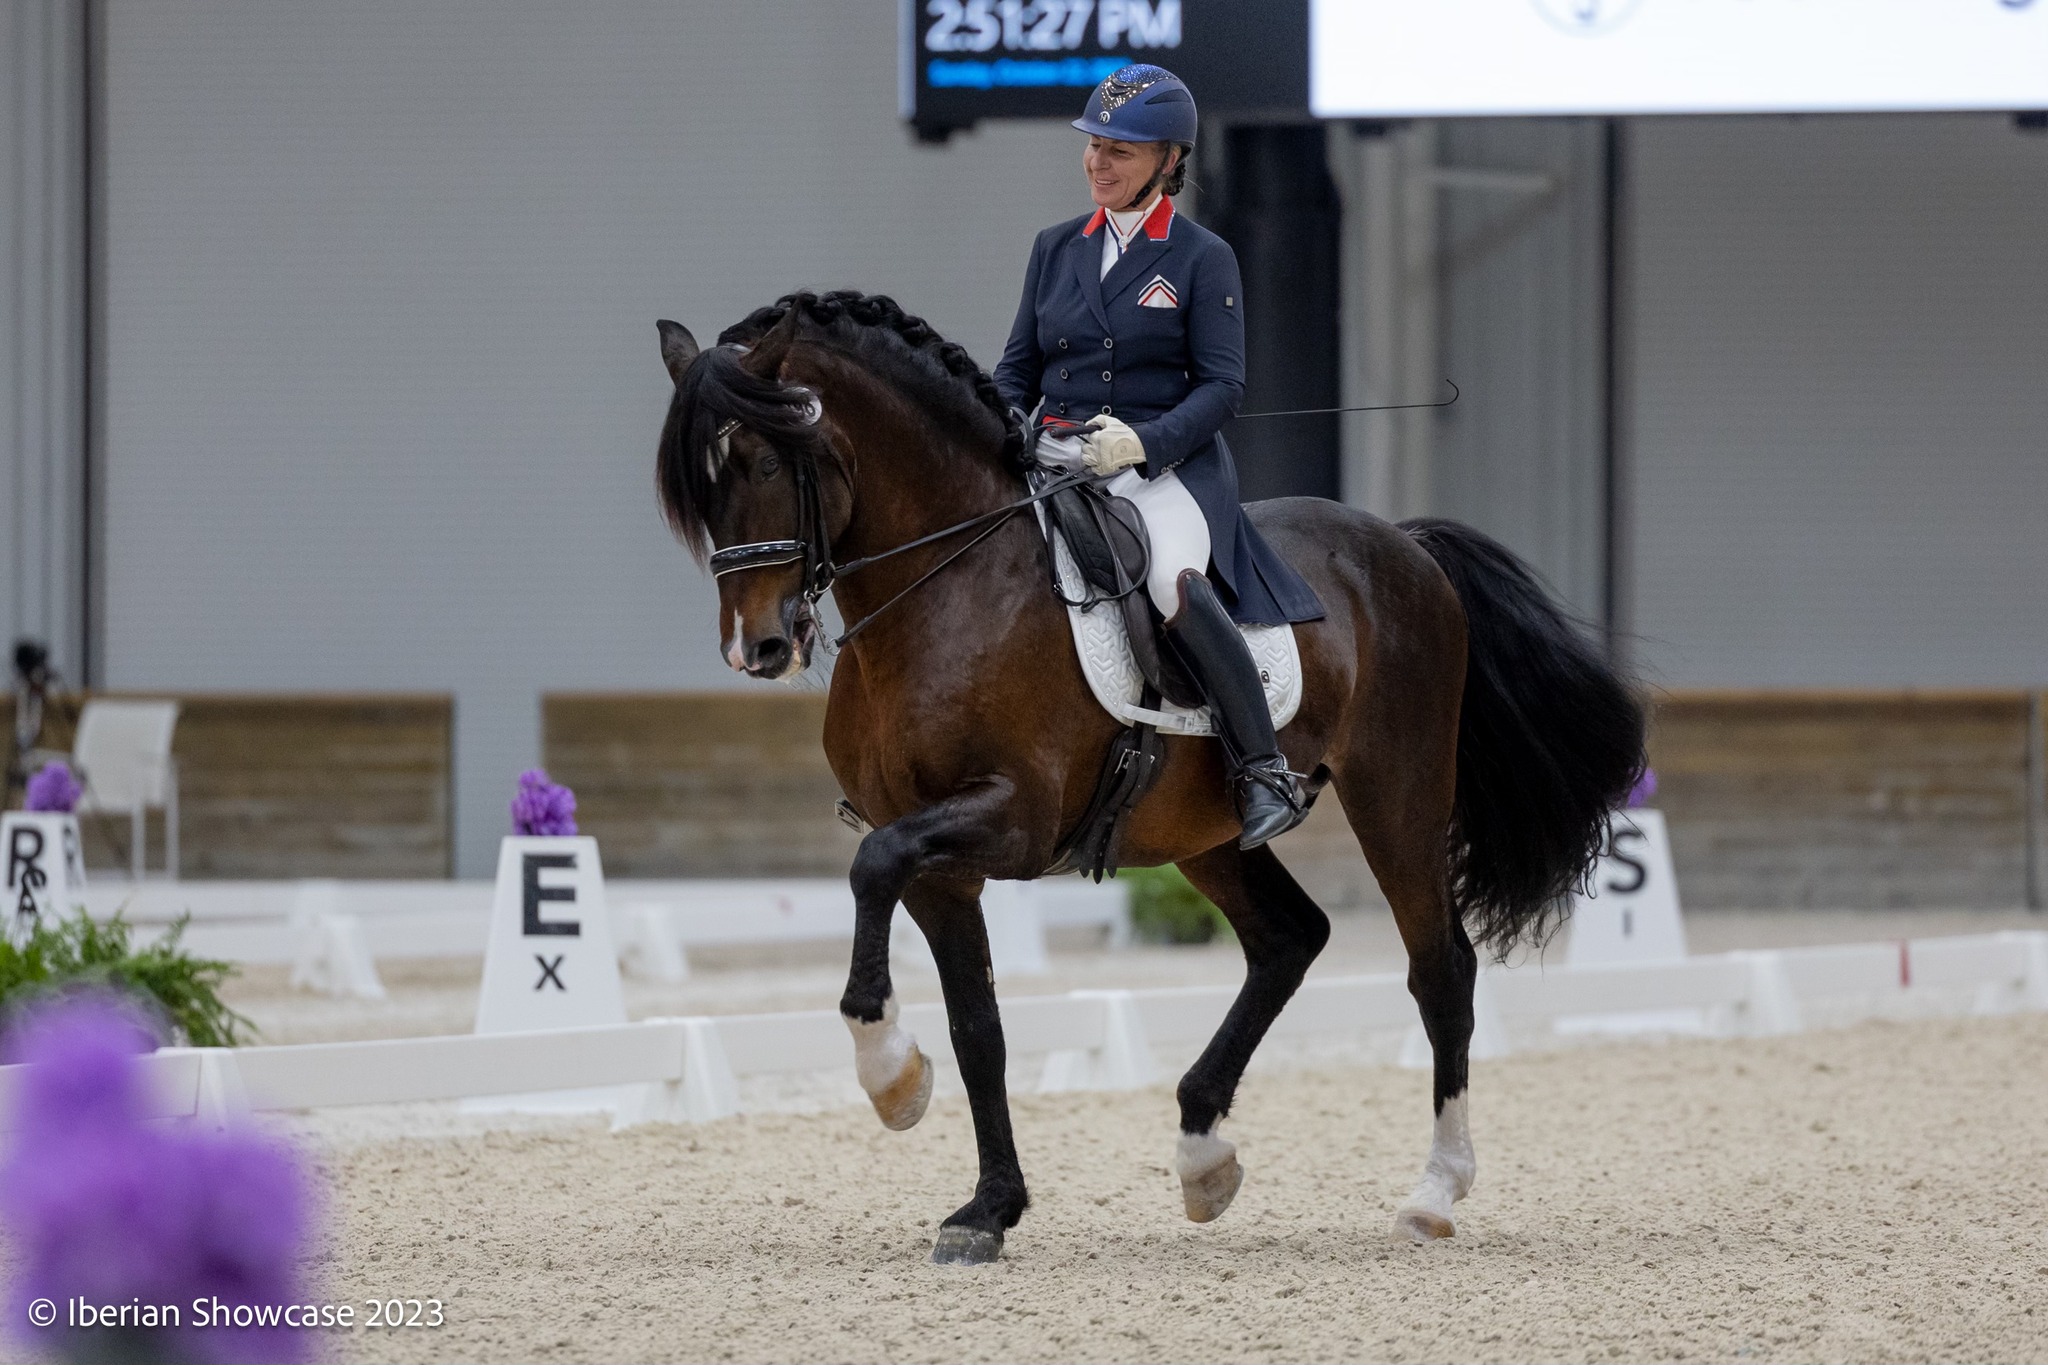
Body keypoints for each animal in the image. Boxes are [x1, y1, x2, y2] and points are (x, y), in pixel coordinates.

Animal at [655, 290, 1646, 1268]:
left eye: (763, 461)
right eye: (698, 491)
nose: (757, 648)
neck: (948, 588)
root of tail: (1404, 545)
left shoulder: (1009, 820)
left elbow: (874, 874)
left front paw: (891, 1075)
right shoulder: (946, 864)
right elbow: (979, 1028)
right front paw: (986, 1207)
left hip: (1396, 793)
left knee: (1439, 967)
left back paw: (1433, 1193)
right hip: (1203, 831)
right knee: (1290, 938)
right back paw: (1204, 1151)